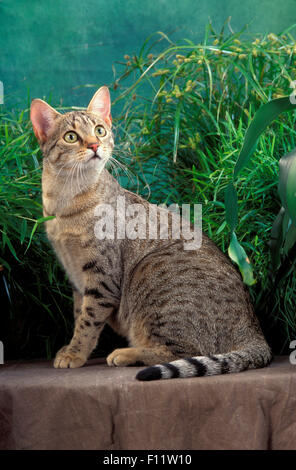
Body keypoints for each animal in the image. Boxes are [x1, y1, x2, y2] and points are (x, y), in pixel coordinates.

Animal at [30, 86, 272, 380]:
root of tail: (254, 330)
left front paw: (75, 353)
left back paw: (125, 354)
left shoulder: (101, 276)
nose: (95, 145)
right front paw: (72, 348)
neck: (64, 201)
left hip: (150, 274)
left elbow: (88, 321)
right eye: (71, 136)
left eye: (99, 130)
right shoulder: (76, 277)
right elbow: (79, 314)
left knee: (183, 351)